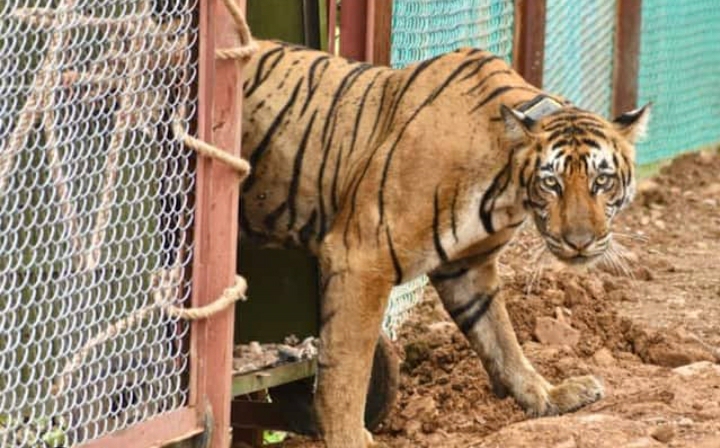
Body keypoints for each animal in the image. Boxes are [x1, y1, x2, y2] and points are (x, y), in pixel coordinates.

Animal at [239, 39, 648, 448]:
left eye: (601, 181)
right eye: (552, 183)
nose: (579, 242)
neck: (508, 184)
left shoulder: (468, 267)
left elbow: (501, 338)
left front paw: (547, 396)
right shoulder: (361, 254)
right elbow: (348, 362)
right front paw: (347, 435)